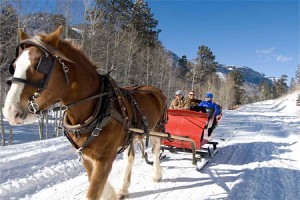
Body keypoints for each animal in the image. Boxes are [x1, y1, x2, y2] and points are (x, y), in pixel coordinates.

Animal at [2, 27, 166, 200]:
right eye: (14, 66)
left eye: (38, 65)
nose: (11, 112)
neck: (99, 106)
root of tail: (154, 89)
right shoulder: (86, 156)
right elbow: (92, 178)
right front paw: (110, 193)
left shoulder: (105, 158)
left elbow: (93, 191)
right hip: (132, 135)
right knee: (130, 157)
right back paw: (123, 189)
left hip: (157, 128)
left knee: (155, 150)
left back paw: (157, 174)